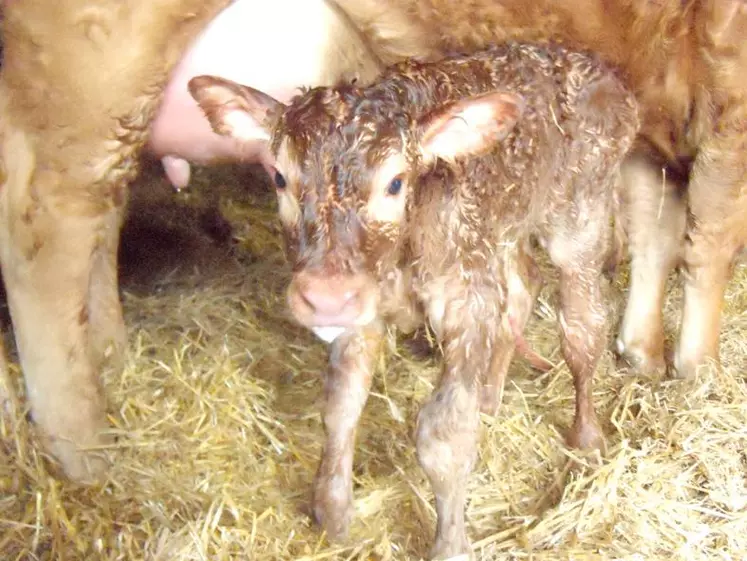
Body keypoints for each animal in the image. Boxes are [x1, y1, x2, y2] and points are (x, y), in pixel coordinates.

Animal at [190, 42, 640, 556]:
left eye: (395, 183)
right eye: (280, 178)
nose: (325, 297)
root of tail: (592, 65)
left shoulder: (465, 299)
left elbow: (444, 434)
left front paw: (450, 544)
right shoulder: (366, 307)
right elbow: (340, 406)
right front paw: (333, 513)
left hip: (579, 220)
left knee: (583, 331)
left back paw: (586, 438)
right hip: (501, 227)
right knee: (524, 285)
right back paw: (490, 396)